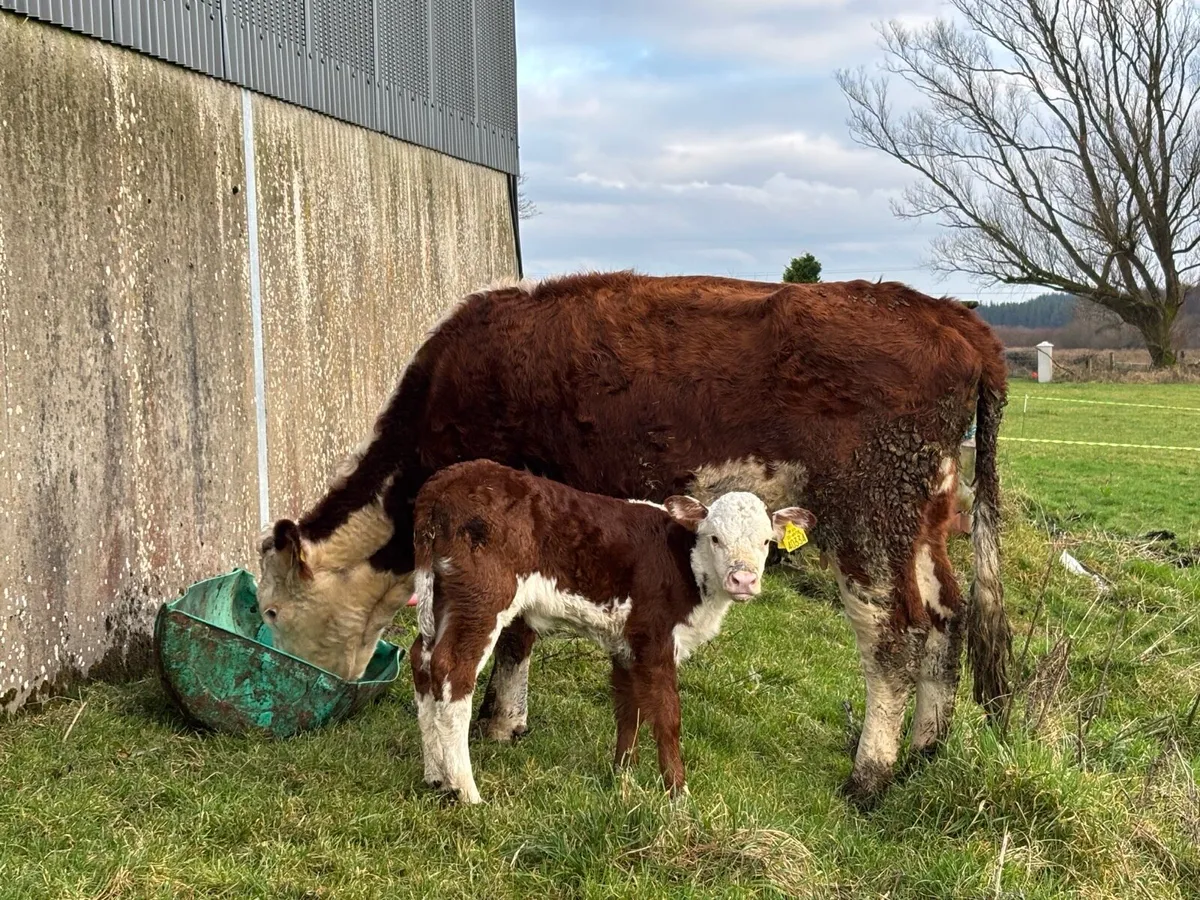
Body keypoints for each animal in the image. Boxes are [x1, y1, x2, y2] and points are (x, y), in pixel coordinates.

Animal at [406, 458, 816, 803]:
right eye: (715, 538)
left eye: (766, 541)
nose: (743, 580)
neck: (685, 563)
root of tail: (448, 480)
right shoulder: (655, 637)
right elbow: (667, 715)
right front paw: (678, 794)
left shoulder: (627, 642)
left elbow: (629, 709)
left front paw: (622, 776)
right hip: (483, 597)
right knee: (453, 671)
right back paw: (466, 790)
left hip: (440, 594)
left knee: (422, 660)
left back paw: (435, 775)